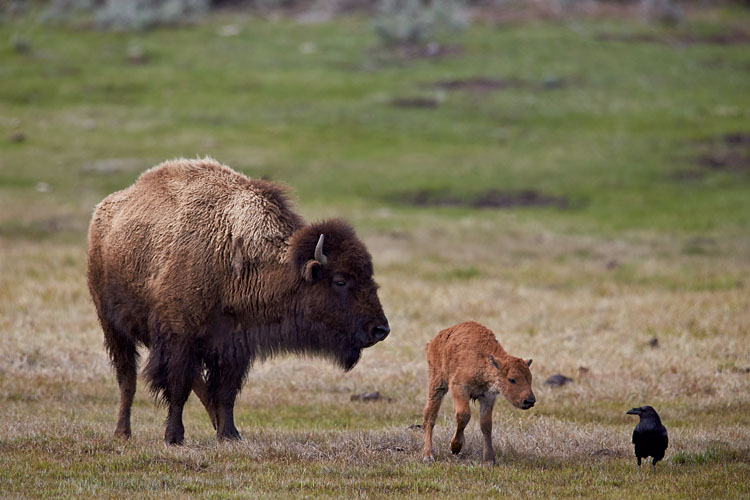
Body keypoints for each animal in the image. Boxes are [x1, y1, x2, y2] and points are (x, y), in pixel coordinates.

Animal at [424, 320, 536, 464]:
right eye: (512, 379)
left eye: (530, 378)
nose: (530, 400)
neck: (484, 360)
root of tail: (434, 341)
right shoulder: (459, 387)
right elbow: (464, 415)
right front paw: (455, 447)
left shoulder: (488, 397)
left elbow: (486, 424)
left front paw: (489, 460)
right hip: (437, 384)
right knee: (430, 416)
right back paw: (428, 455)